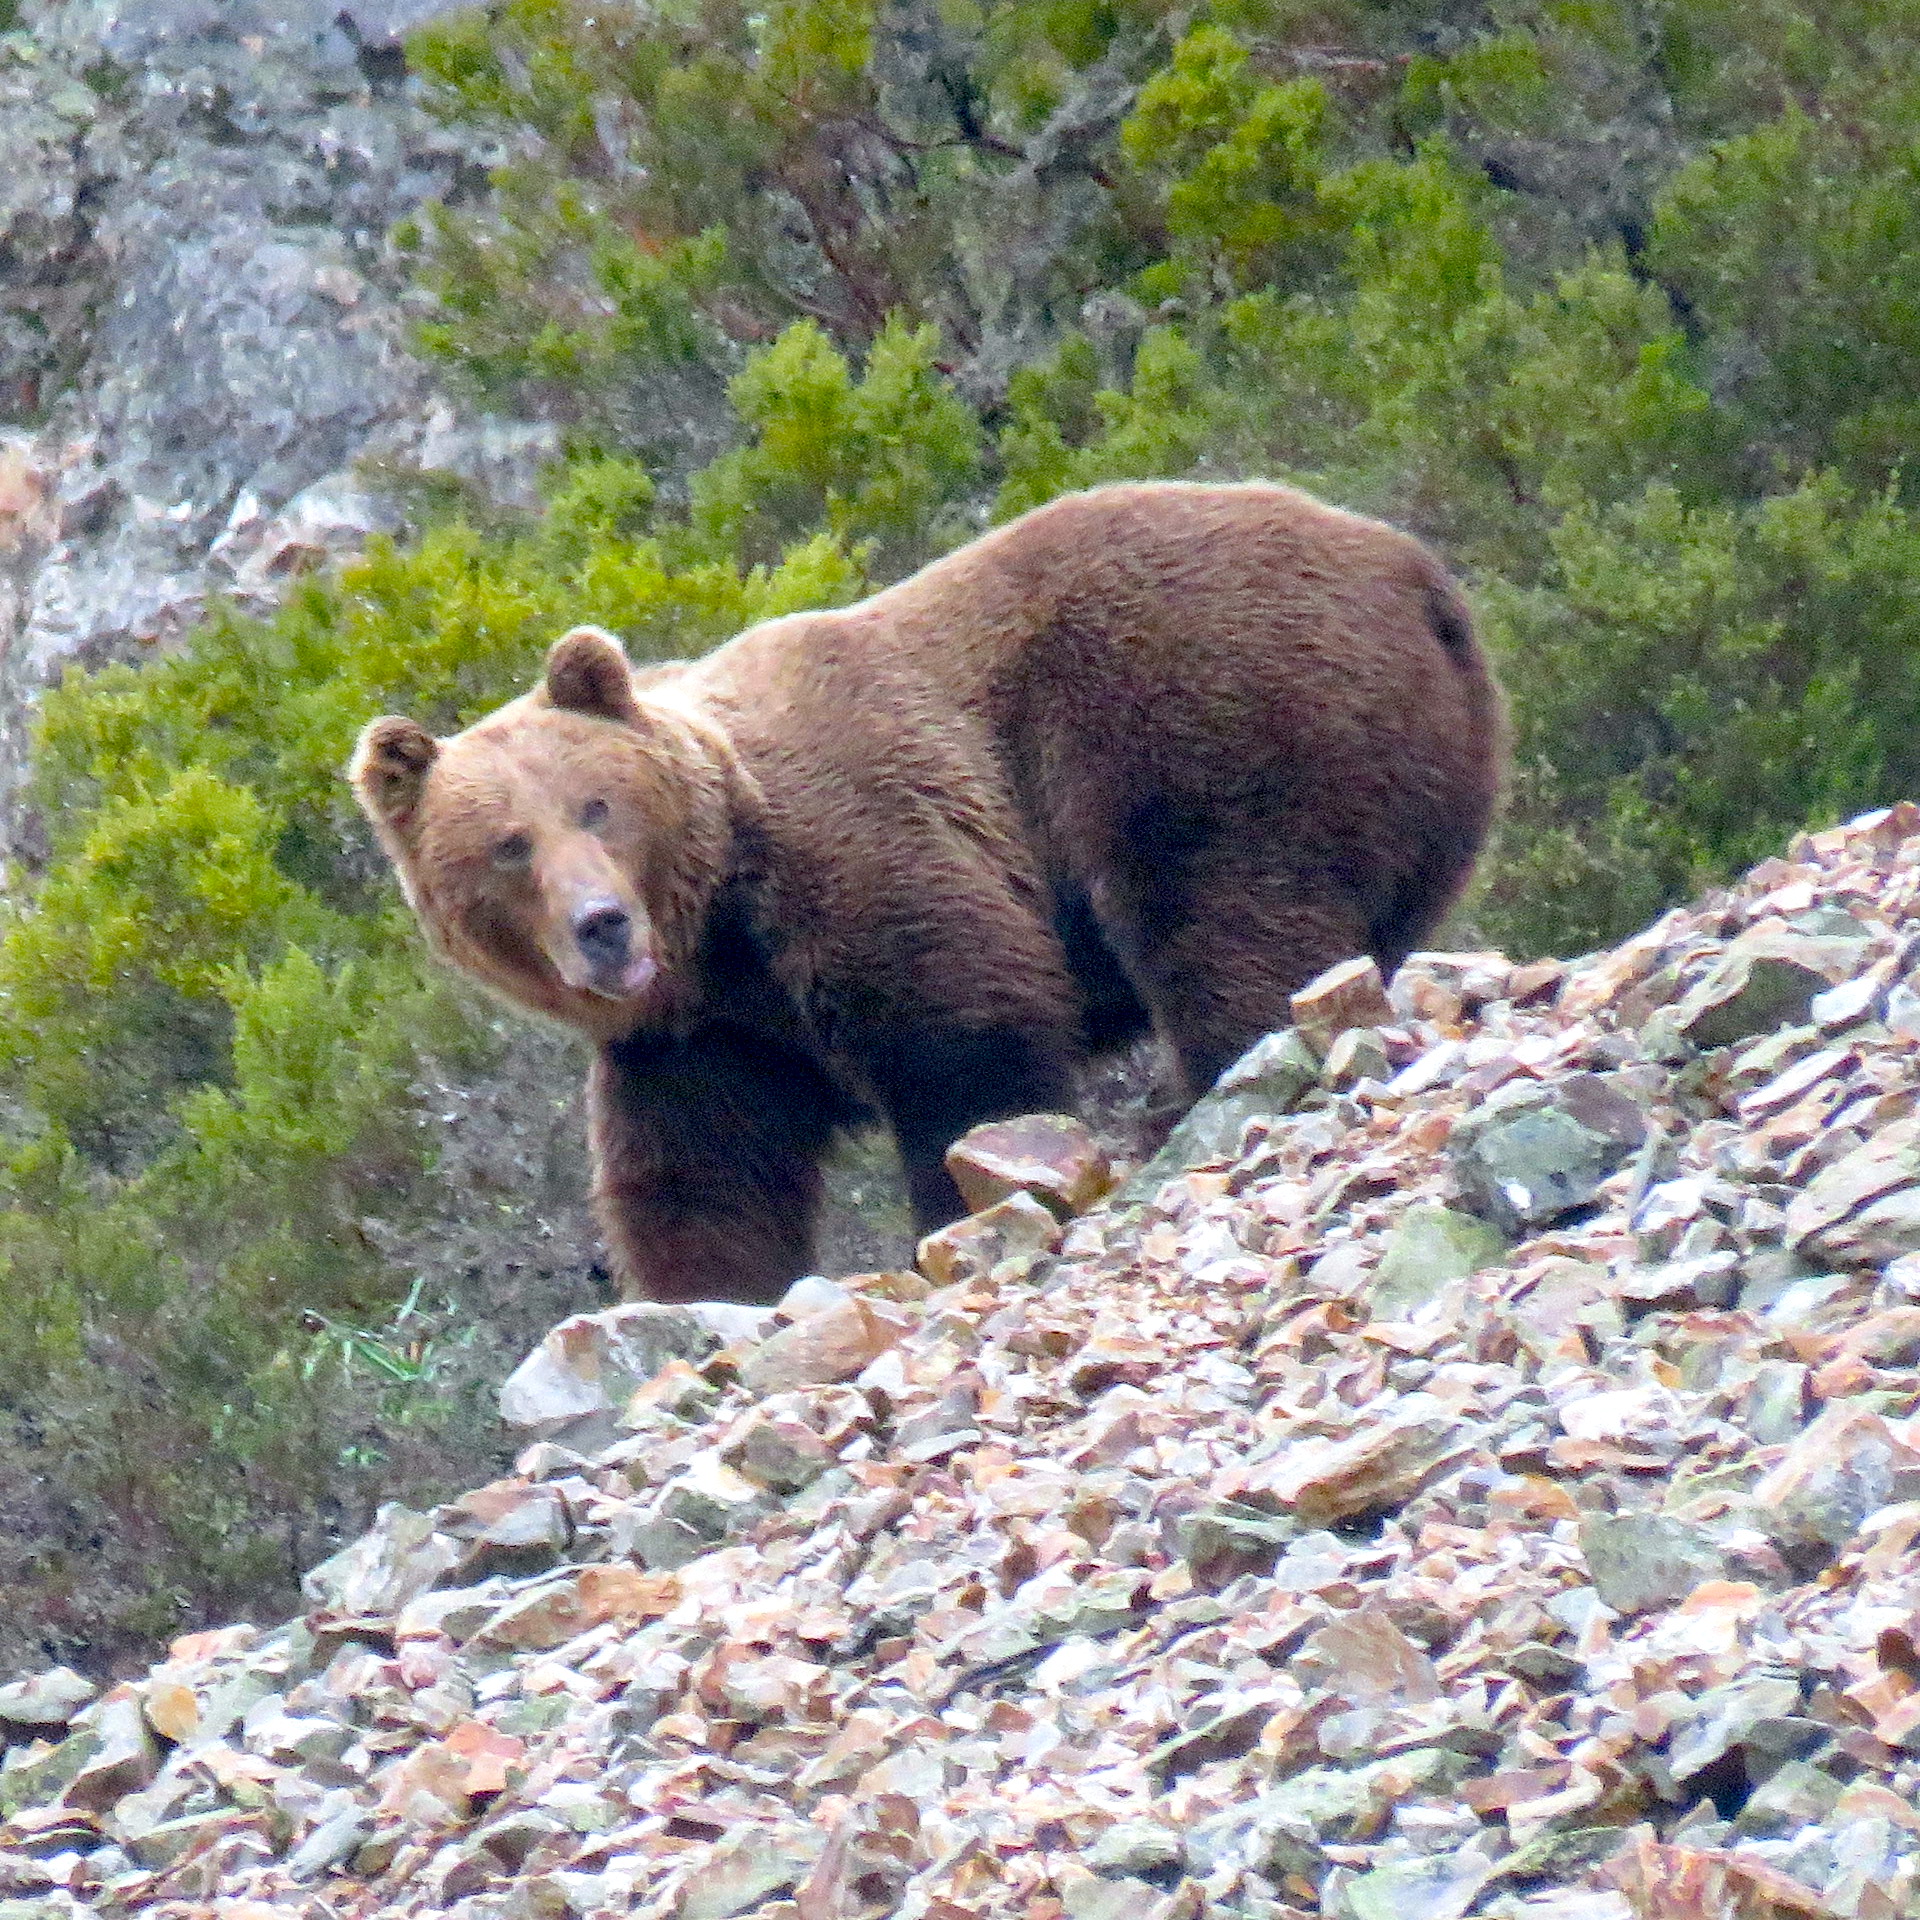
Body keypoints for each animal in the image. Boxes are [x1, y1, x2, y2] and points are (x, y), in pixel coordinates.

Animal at [351, 480, 1503, 1304]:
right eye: (509, 847)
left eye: (594, 806)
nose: (601, 925)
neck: (718, 922)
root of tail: (1418, 572)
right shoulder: (699, 1036)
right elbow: (699, 1178)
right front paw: (702, 1298)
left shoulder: (863, 851)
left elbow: (964, 1045)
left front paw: (963, 1211)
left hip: (1212, 714)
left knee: (1231, 924)